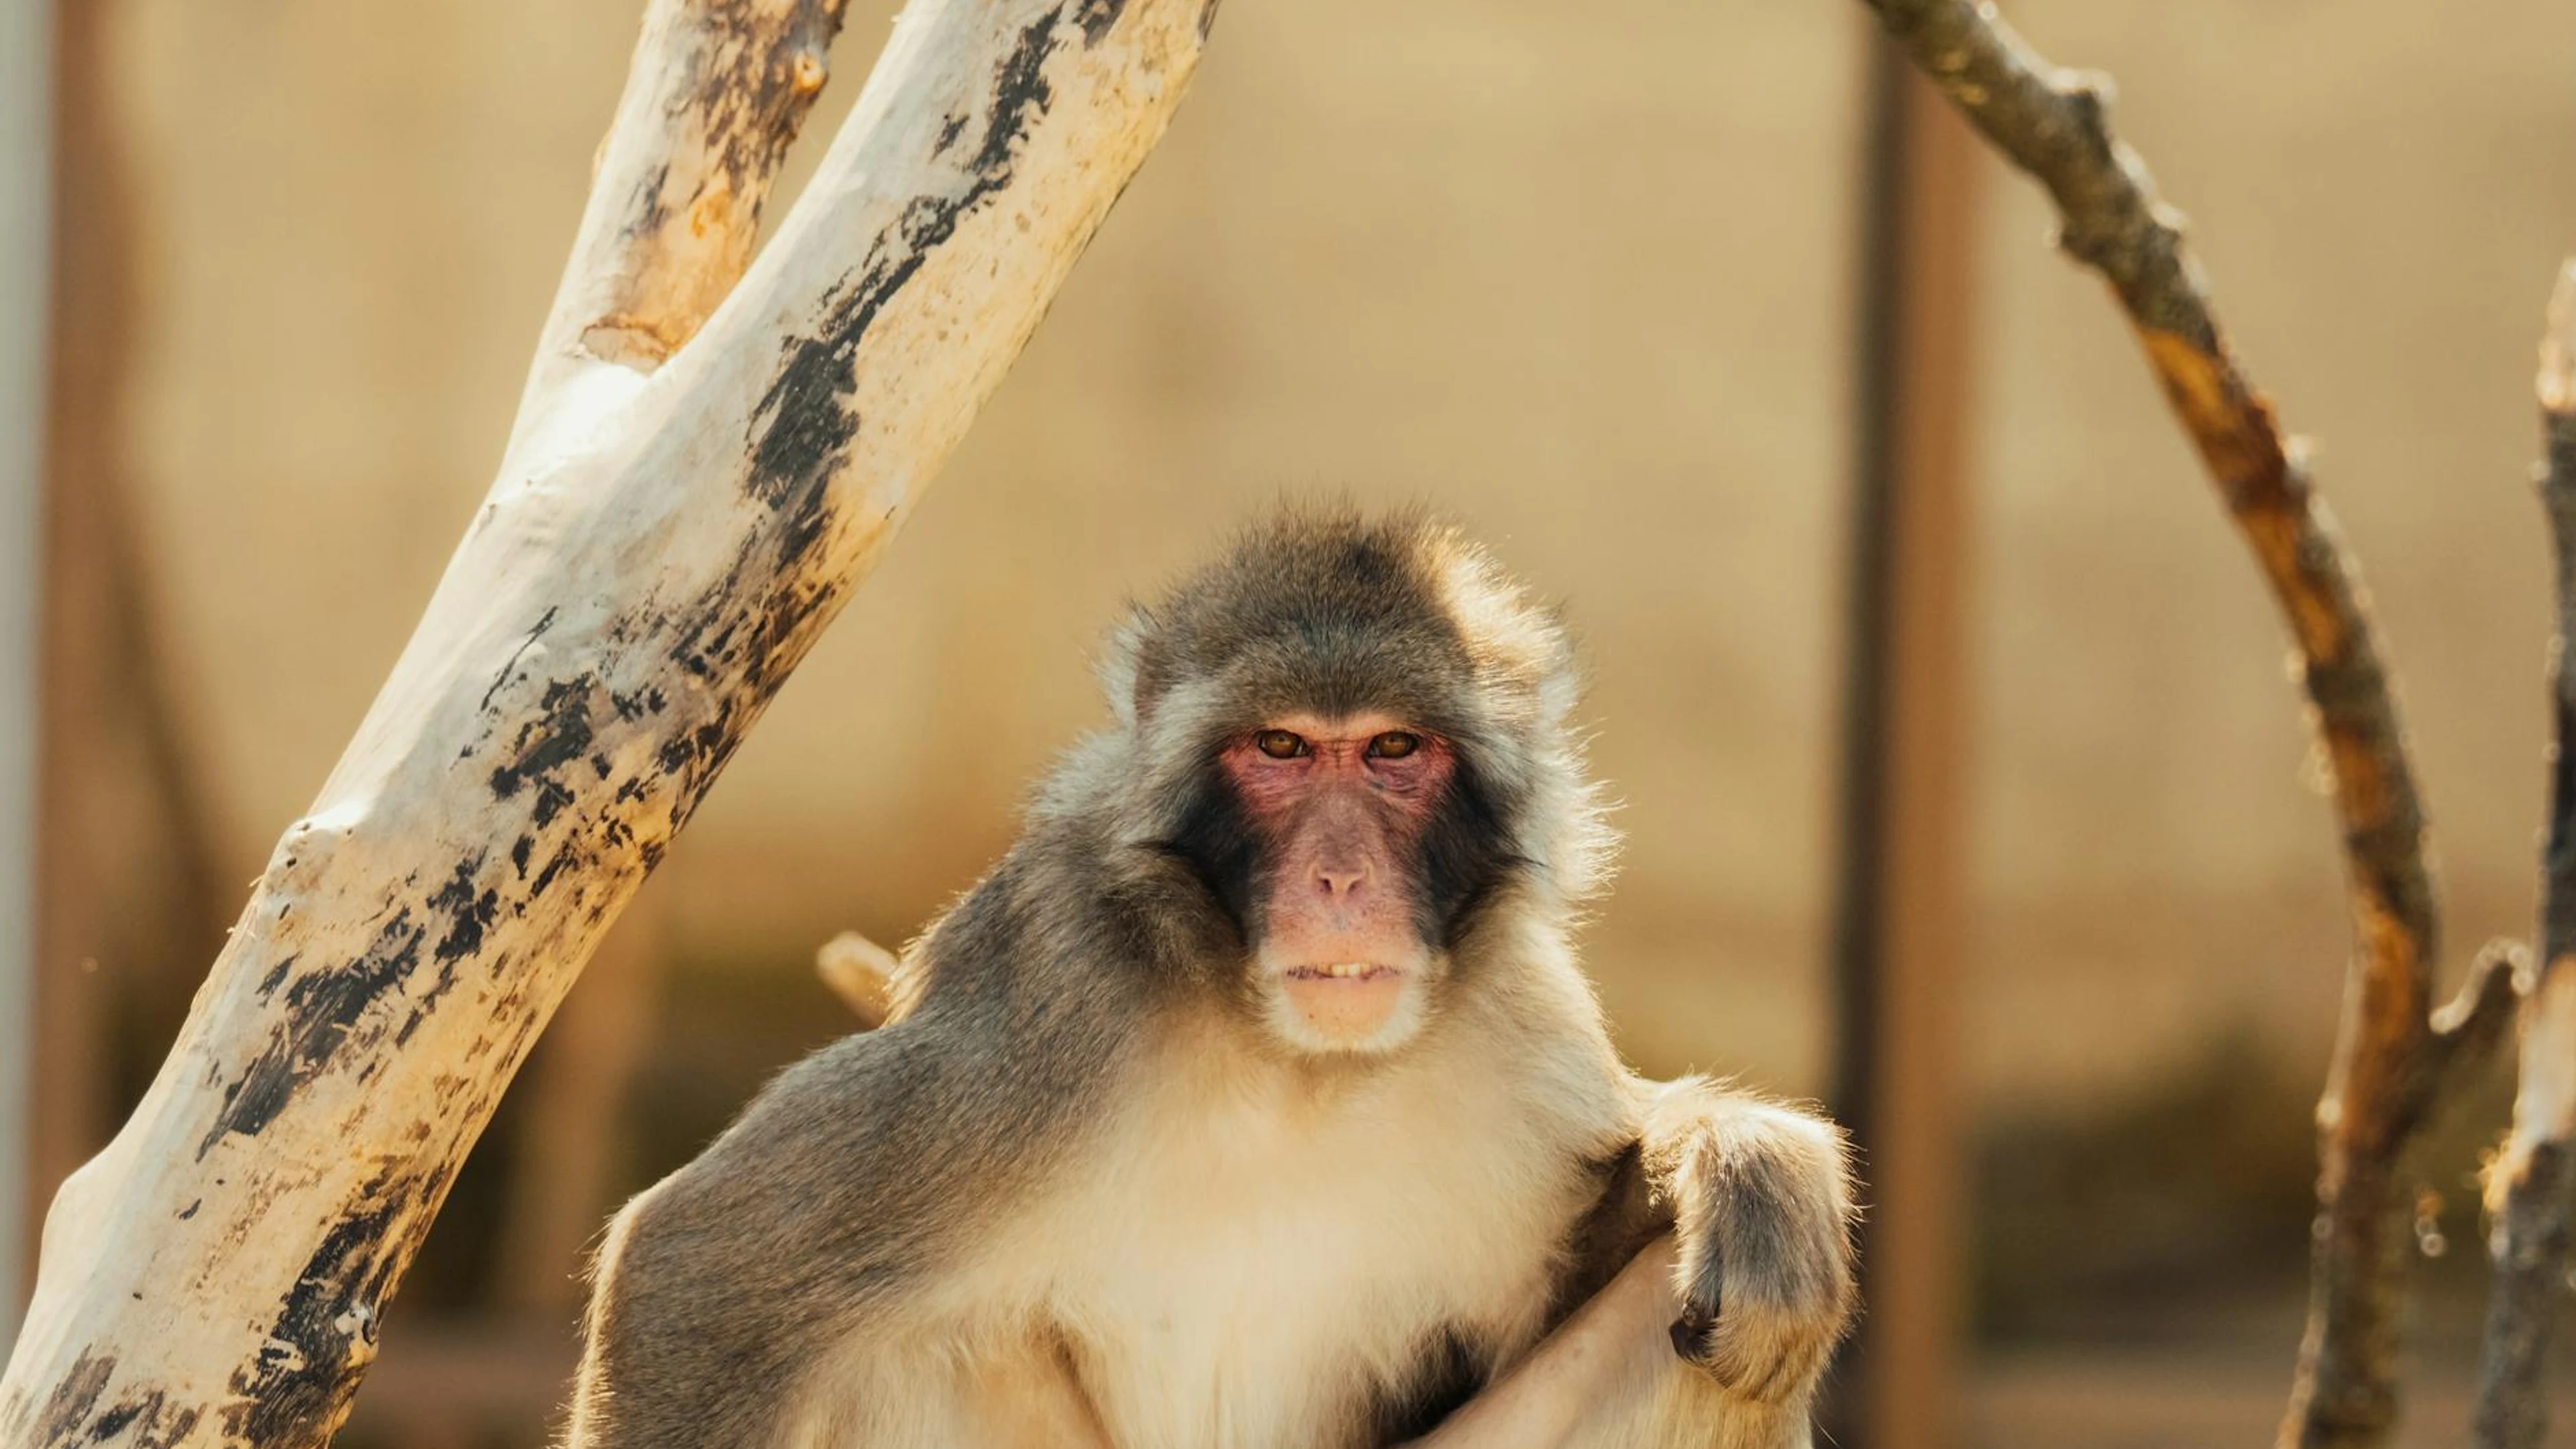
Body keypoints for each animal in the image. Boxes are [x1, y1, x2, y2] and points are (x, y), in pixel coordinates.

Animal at [564, 509, 1858, 1449]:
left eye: (1394, 750)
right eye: (1278, 749)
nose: (1340, 877)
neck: (1295, 1067)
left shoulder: (1525, 1026)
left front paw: (1748, 1156)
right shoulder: (1043, 1011)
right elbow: (697, 1270)